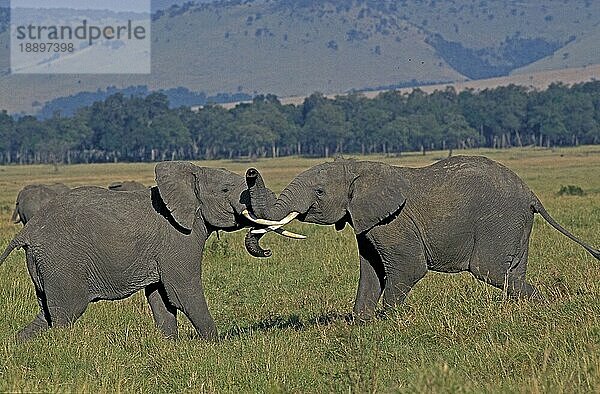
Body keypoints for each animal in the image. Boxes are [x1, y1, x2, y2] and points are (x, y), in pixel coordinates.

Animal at [0, 162, 290, 340]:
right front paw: (214, 345)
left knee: (47, 314)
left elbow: (161, 298)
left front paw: (171, 347)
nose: (251, 171)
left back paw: (18, 343)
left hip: (44, 263)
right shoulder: (178, 238)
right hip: (61, 260)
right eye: (225, 189)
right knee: (65, 313)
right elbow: (182, 292)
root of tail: (27, 232)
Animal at [244, 155, 600, 318]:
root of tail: (531, 194)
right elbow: (370, 271)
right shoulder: (367, 222)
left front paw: (387, 322)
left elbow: (407, 269)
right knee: (512, 273)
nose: (250, 172)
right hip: (516, 225)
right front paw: (360, 323)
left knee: (492, 271)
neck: (358, 167)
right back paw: (536, 307)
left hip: (499, 221)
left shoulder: (393, 222)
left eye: (318, 192)